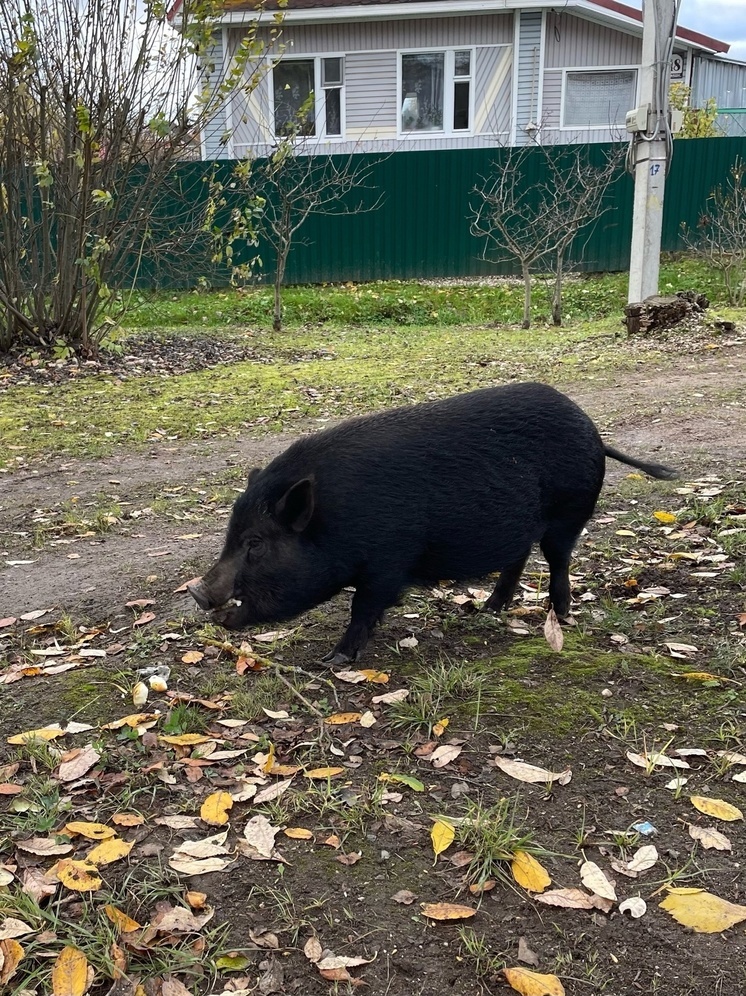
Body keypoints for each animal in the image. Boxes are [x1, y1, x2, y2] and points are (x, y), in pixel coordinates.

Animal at [187, 386, 676, 664]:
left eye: (255, 542)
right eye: (231, 535)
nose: (197, 590)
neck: (335, 518)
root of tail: (593, 430)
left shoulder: (389, 561)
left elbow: (363, 607)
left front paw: (333, 660)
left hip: (569, 511)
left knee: (559, 562)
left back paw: (560, 617)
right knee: (517, 559)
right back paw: (487, 610)